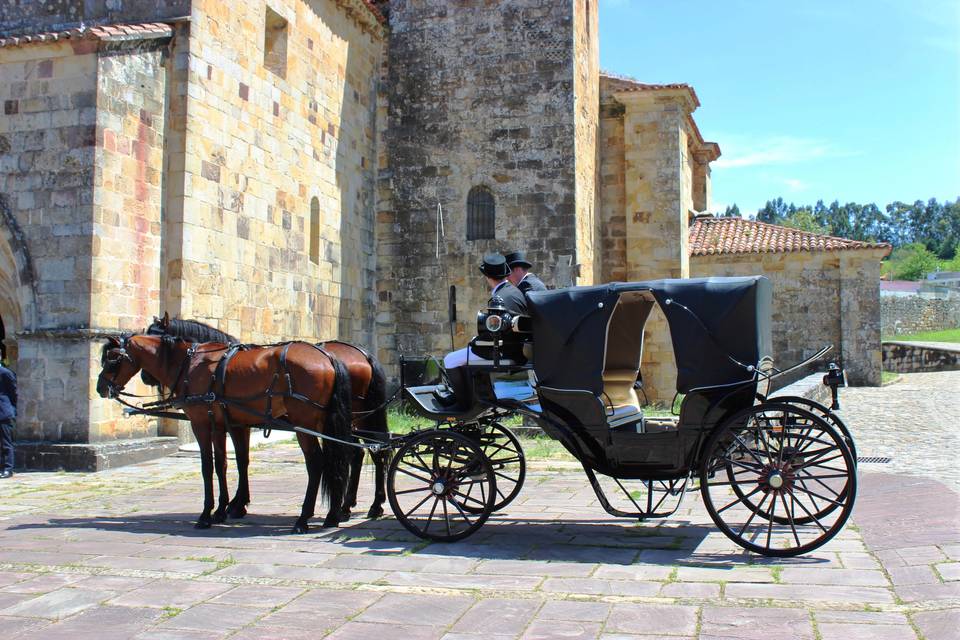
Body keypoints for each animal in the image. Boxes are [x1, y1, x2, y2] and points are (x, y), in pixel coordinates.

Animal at [96, 332, 356, 532]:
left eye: (112, 359)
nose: (100, 387)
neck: (190, 364)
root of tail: (329, 358)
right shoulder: (224, 424)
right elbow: (224, 463)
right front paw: (223, 509)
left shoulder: (201, 423)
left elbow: (207, 466)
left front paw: (206, 515)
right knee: (337, 459)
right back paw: (332, 515)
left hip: (305, 423)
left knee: (317, 463)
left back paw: (303, 519)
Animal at [142, 318, 390, 524]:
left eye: (153, 334)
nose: (145, 377)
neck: (215, 364)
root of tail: (363, 356)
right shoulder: (239, 423)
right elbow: (242, 460)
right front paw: (238, 503)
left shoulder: (224, 423)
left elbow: (229, 461)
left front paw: (230, 506)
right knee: (367, 451)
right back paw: (358, 506)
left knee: (362, 453)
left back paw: (352, 507)